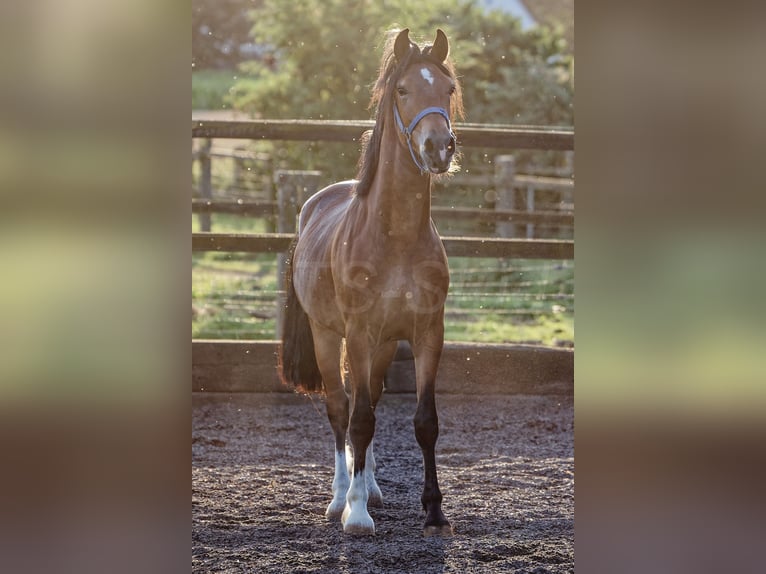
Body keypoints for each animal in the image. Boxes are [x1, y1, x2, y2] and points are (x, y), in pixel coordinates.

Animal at [278, 27, 463, 537]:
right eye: (402, 90)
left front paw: (434, 512)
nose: (438, 148)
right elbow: (357, 419)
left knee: (372, 400)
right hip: (328, 336)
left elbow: (424, 421)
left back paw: (372, 487)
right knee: (341, 408)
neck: (396, 234)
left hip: (382, 345)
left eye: (448, 89)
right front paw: (356, 514)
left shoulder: (427, 333)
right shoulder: (357, 333)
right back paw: (341, 496)